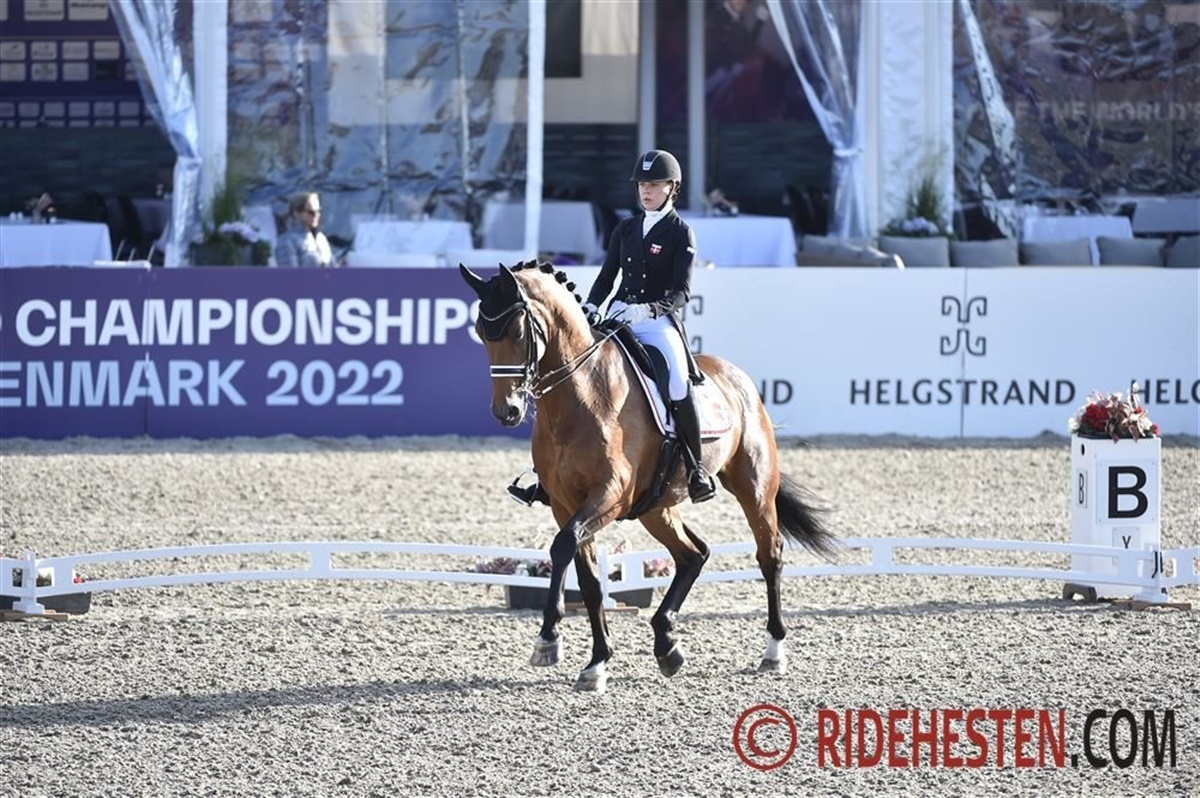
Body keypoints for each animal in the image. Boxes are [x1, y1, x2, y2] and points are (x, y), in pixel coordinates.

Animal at [460, 261, 836, 692]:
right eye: (481, 333)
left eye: (520, 332)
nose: (506, 411)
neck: (582, 395)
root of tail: (736, 376)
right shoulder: (565, 504)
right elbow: (587, 579)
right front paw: (596, 662)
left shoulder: (610, 495)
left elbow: (563, 546)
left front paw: (548, 638)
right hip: (656, 508)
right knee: (694, 554)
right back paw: (666, 644)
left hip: (753, 488)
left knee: (768, 555)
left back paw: (773, 650)